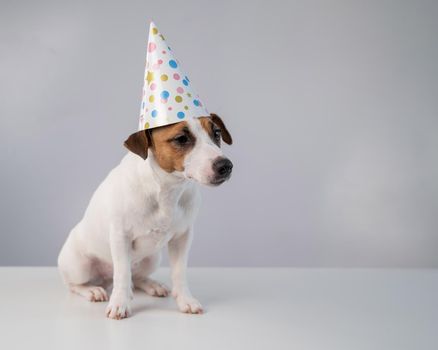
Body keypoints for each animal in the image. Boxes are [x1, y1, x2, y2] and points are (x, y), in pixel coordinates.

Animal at [58, 113, 233, 318]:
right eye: (182, 139)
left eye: (217, 133)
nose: (226, 166)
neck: (167, 189)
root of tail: (104, 279)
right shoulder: (120, 237)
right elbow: (122, 274)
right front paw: (120, 303)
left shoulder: (182, 238)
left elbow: (179, 272)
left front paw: (185, 300)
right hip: (79, 266)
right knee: (75, 284)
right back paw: (92, 290)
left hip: (152, 259)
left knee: (137, 277)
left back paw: (151, 285)